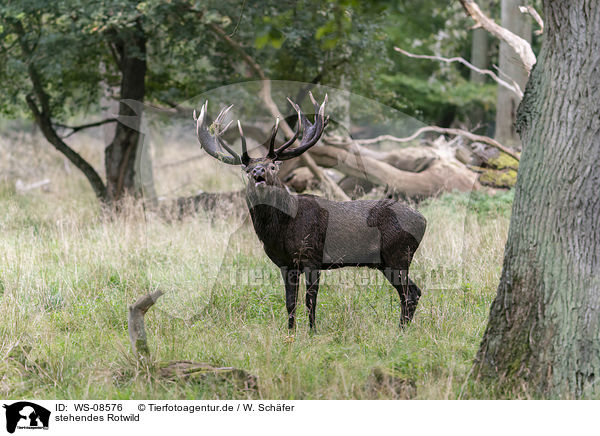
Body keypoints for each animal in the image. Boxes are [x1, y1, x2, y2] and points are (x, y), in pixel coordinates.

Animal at [193, 92, 426, 330]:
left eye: (272, 166)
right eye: (247, 170)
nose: (258, 172)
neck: (281, 229)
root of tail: (423, 220)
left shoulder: (312, 256)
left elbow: (310, 300)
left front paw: (312, 332)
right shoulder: (286, 263)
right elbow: (290, 302)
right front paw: (290, 332)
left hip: (398, 255)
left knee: (410, 293)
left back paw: (400, 330)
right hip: (386, 261)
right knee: (413, 292)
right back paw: (402, 329)